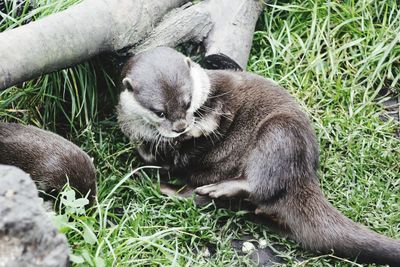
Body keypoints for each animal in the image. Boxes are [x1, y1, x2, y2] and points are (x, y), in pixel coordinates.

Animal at [116, 46, 400, 266]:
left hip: (281, 134)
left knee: (261, 183)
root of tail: (306, 173)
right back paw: (164, 187)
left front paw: (198, 130)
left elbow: (213, 121)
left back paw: (217, 187)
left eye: (187, 102)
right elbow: (152, 155)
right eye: (160, 112)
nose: (180, 127)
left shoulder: (221, 99)